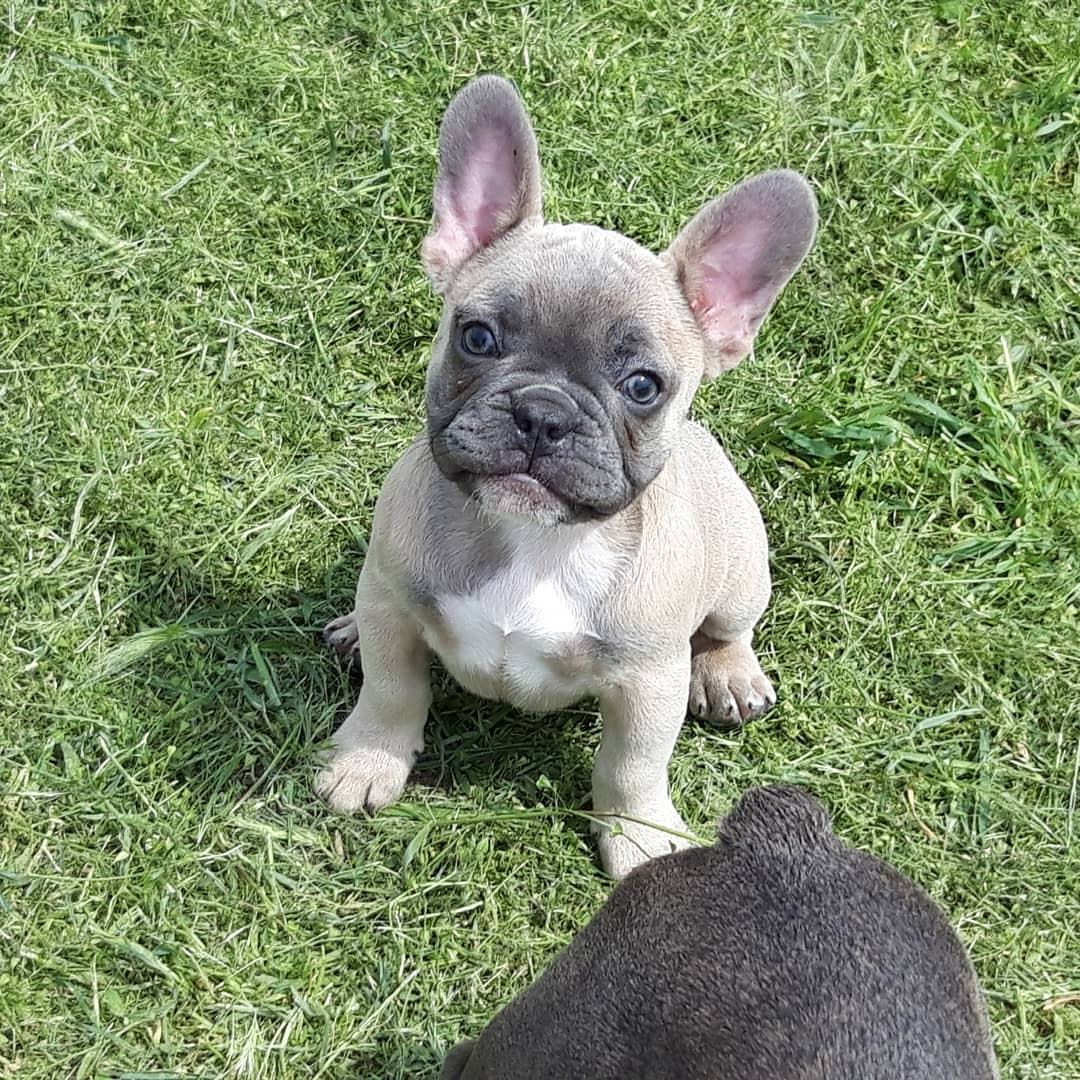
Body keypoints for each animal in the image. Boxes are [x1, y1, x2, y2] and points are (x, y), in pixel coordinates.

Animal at [319, 73, 816, 876]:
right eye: (477, 337)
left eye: (643, 386)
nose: (543, 413)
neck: (537, 539)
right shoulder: (394, 605)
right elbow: (393, 692)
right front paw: (368, 762)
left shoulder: (649, 682)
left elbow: (632, 764)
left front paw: (641, 836)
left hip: (743, 567)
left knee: (728, 627)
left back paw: (730, 675)